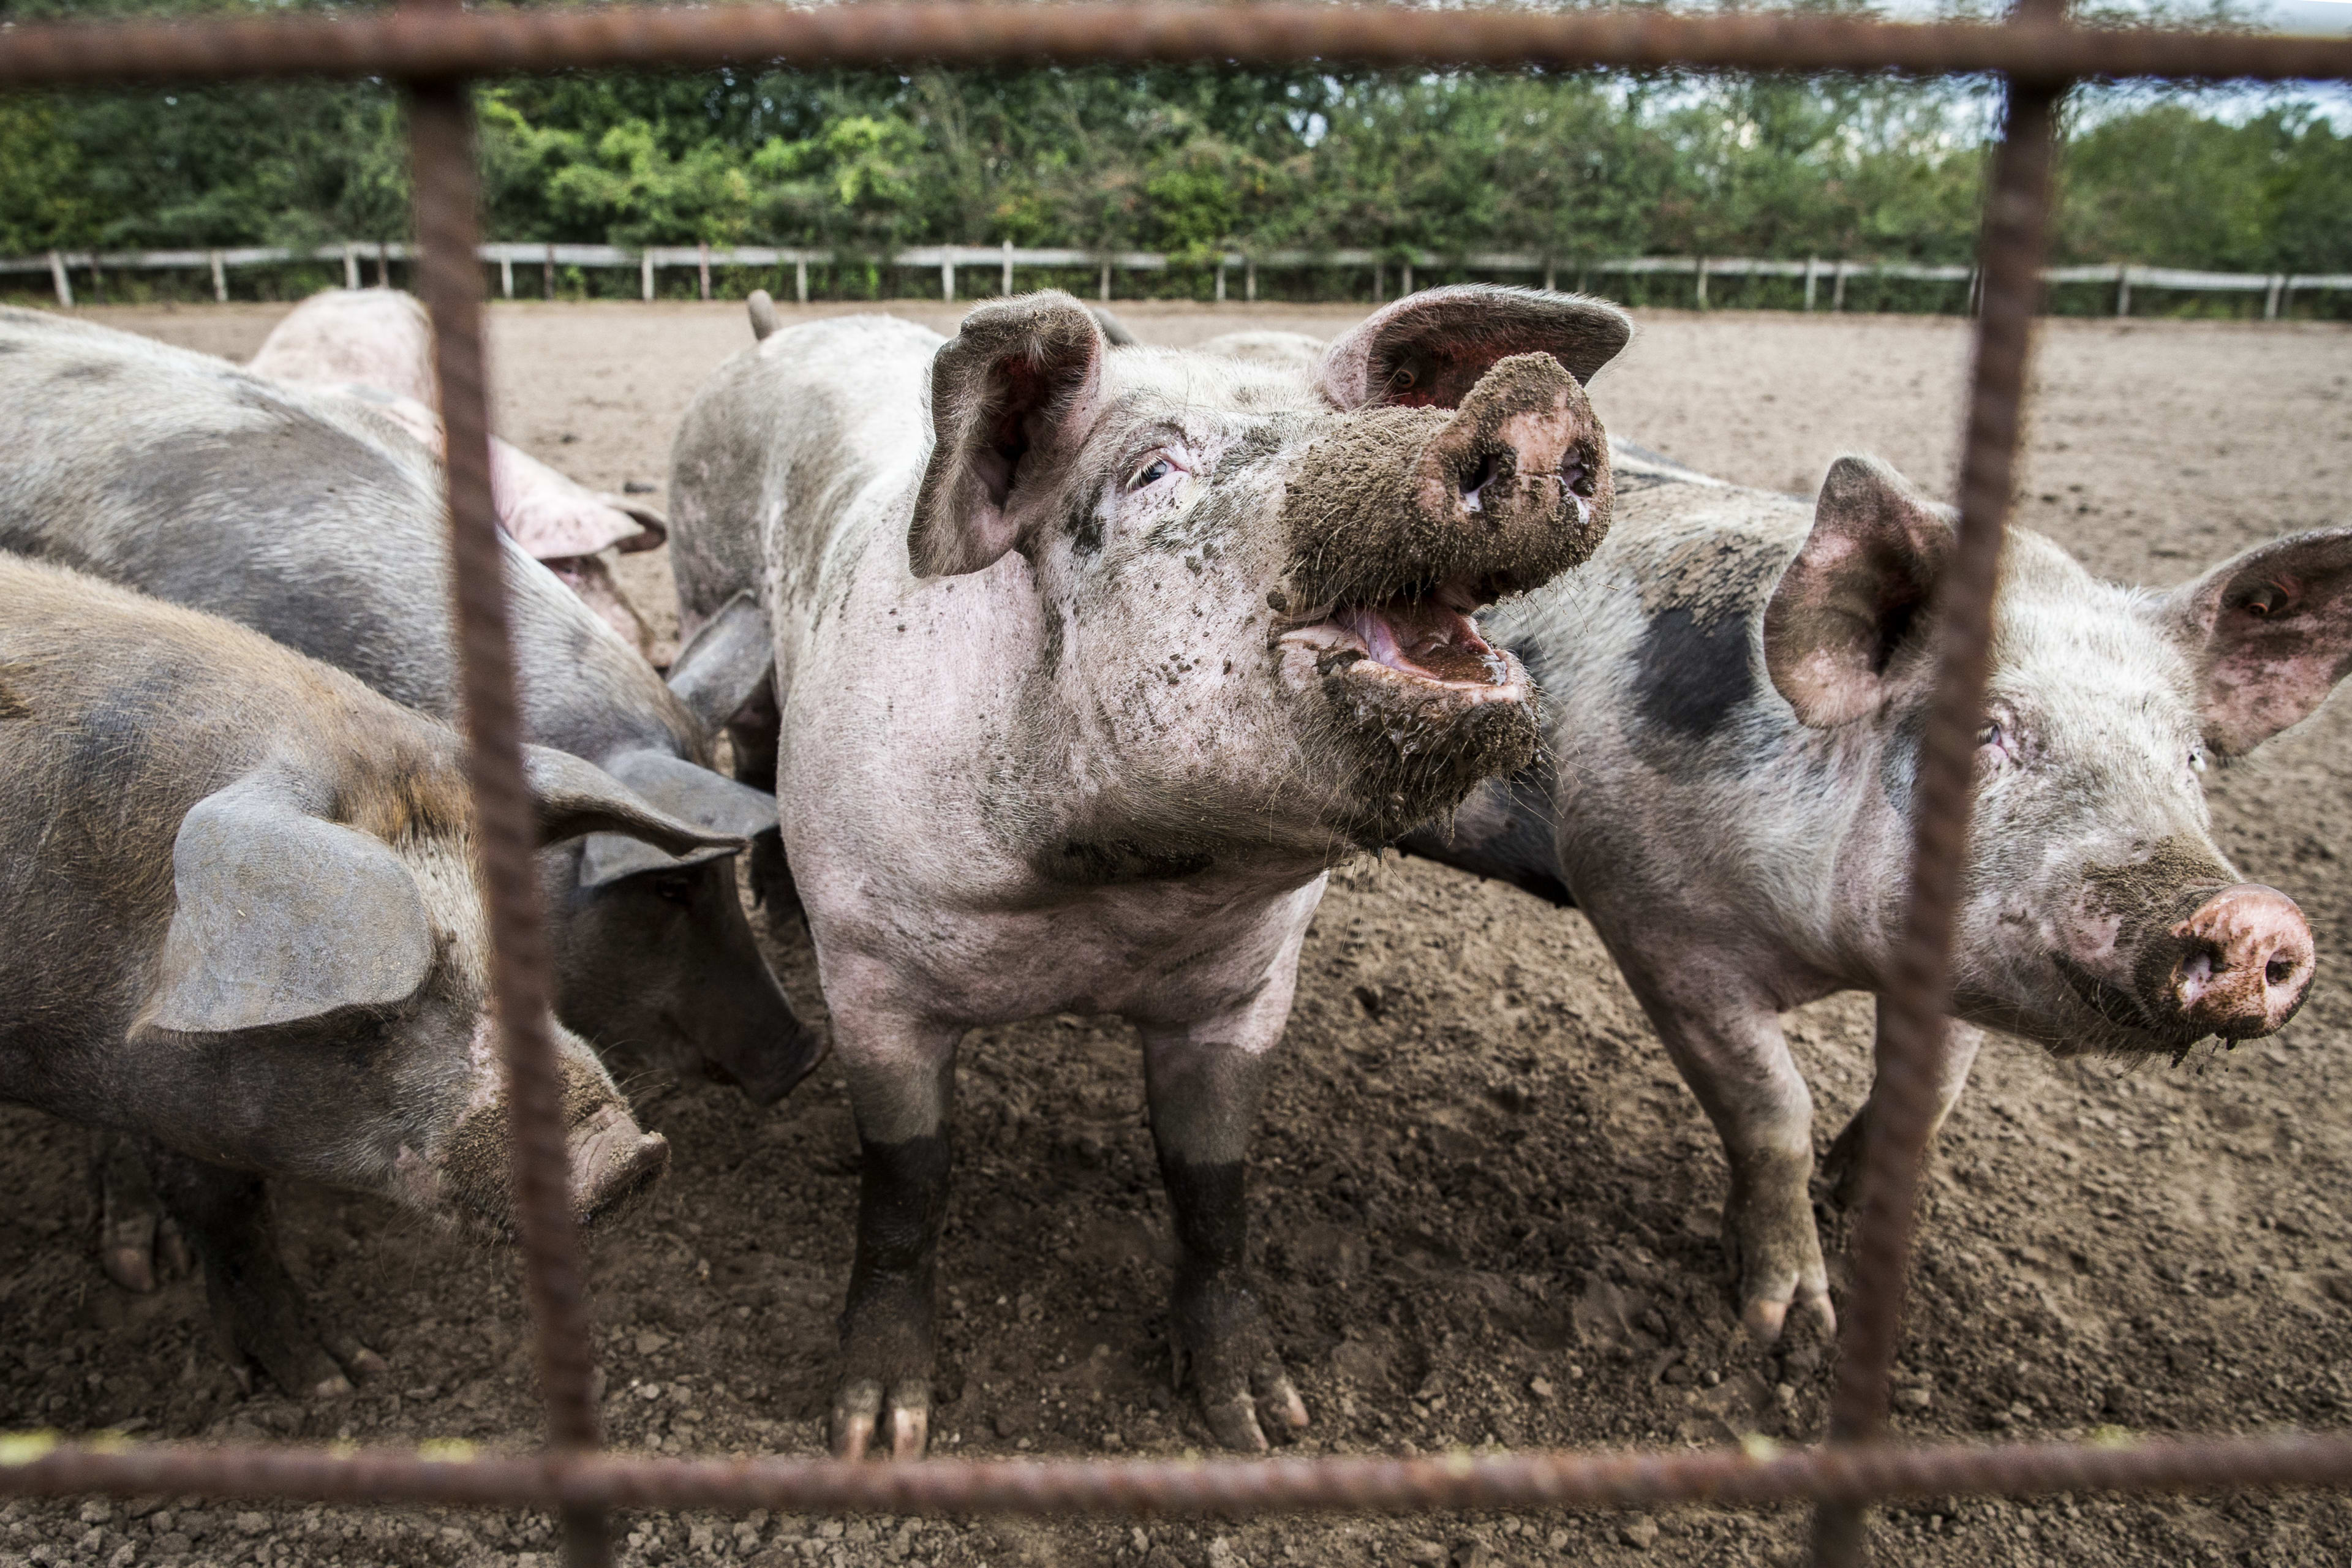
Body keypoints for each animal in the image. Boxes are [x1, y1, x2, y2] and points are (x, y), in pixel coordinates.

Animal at [0, 557, 729, 1392]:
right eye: (370, 1006)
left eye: (528, 945)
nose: (625, 1158)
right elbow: (221, 1203)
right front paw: (330, 1384)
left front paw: (345, 1374)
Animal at [668, 285, 1637, 1457]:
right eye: (1151, 471)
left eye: (1351, 418)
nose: (1535, 394)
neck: (1113, 897)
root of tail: (777, 337)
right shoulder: (870, 975)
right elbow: (907, 1182)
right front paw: (875, 1432)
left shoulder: (1247, 986)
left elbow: (1211, 1183)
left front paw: (1264, 1423)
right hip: (710, 591)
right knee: (750, 742)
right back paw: (774, 909)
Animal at [1401, 447, 2342, 1344]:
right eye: (1987, 732)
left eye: (2191, 757)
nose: (2255, 915)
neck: (1836, 960)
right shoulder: (1649, 913)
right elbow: (1774, 1112)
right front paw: (1786, 1328)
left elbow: (1924, 1100)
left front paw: (1854, 1210)